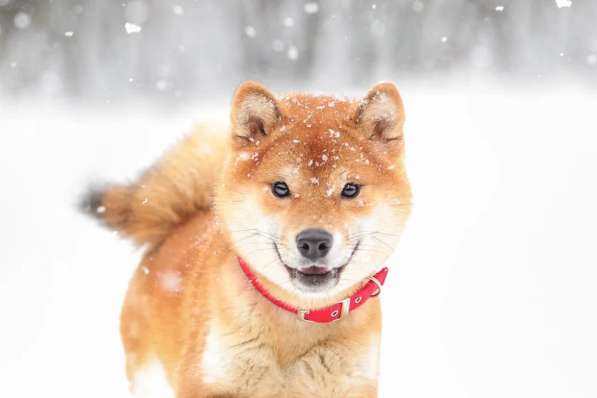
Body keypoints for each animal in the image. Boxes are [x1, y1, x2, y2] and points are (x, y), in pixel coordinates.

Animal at [82, 81, 410, 398]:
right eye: (280, 188)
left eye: (350, 189)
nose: (314, 241)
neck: (295, 322)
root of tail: (180, 222)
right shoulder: (209, 381)